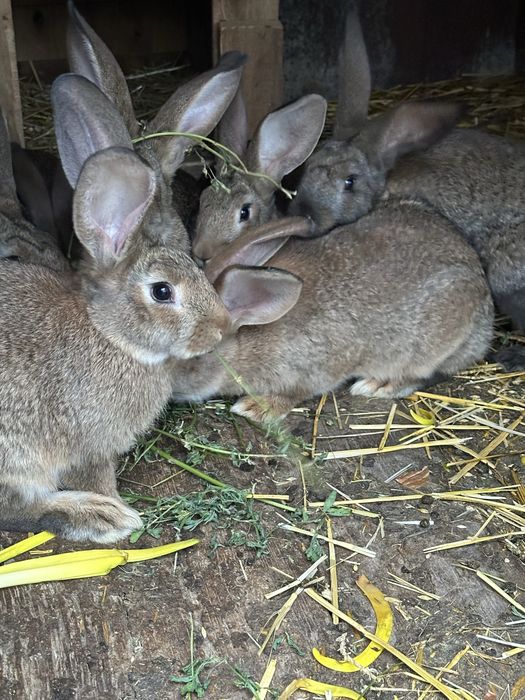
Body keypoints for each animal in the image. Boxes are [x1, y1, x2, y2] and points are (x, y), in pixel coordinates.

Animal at [0, 53, 245, 542]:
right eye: (162, 291)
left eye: (195, 262)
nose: (221, 327)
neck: (110, 335)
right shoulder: (89, 448)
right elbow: (97, 476)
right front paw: (117, 506)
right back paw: (100, 516)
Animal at [168, 206, 494, 424]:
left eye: (191, 358)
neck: (248, 339)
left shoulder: (312, 370)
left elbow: (295, 393)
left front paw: (256, 408)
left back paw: (376, 385)